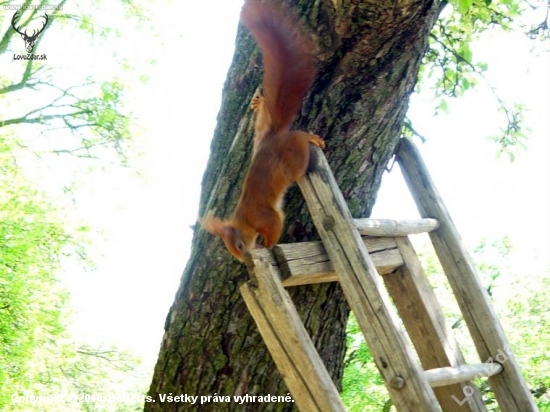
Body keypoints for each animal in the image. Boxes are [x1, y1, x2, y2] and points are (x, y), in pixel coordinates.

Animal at [202, 0, 324, 260]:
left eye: (238, 245)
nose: (244, 259)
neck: (244, 220)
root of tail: (272, 138)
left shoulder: (265, 217)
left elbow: (274, 228)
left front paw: (267, 246)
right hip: (262, 135)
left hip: (293, 161)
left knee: (298, 143)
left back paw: (308, 136)